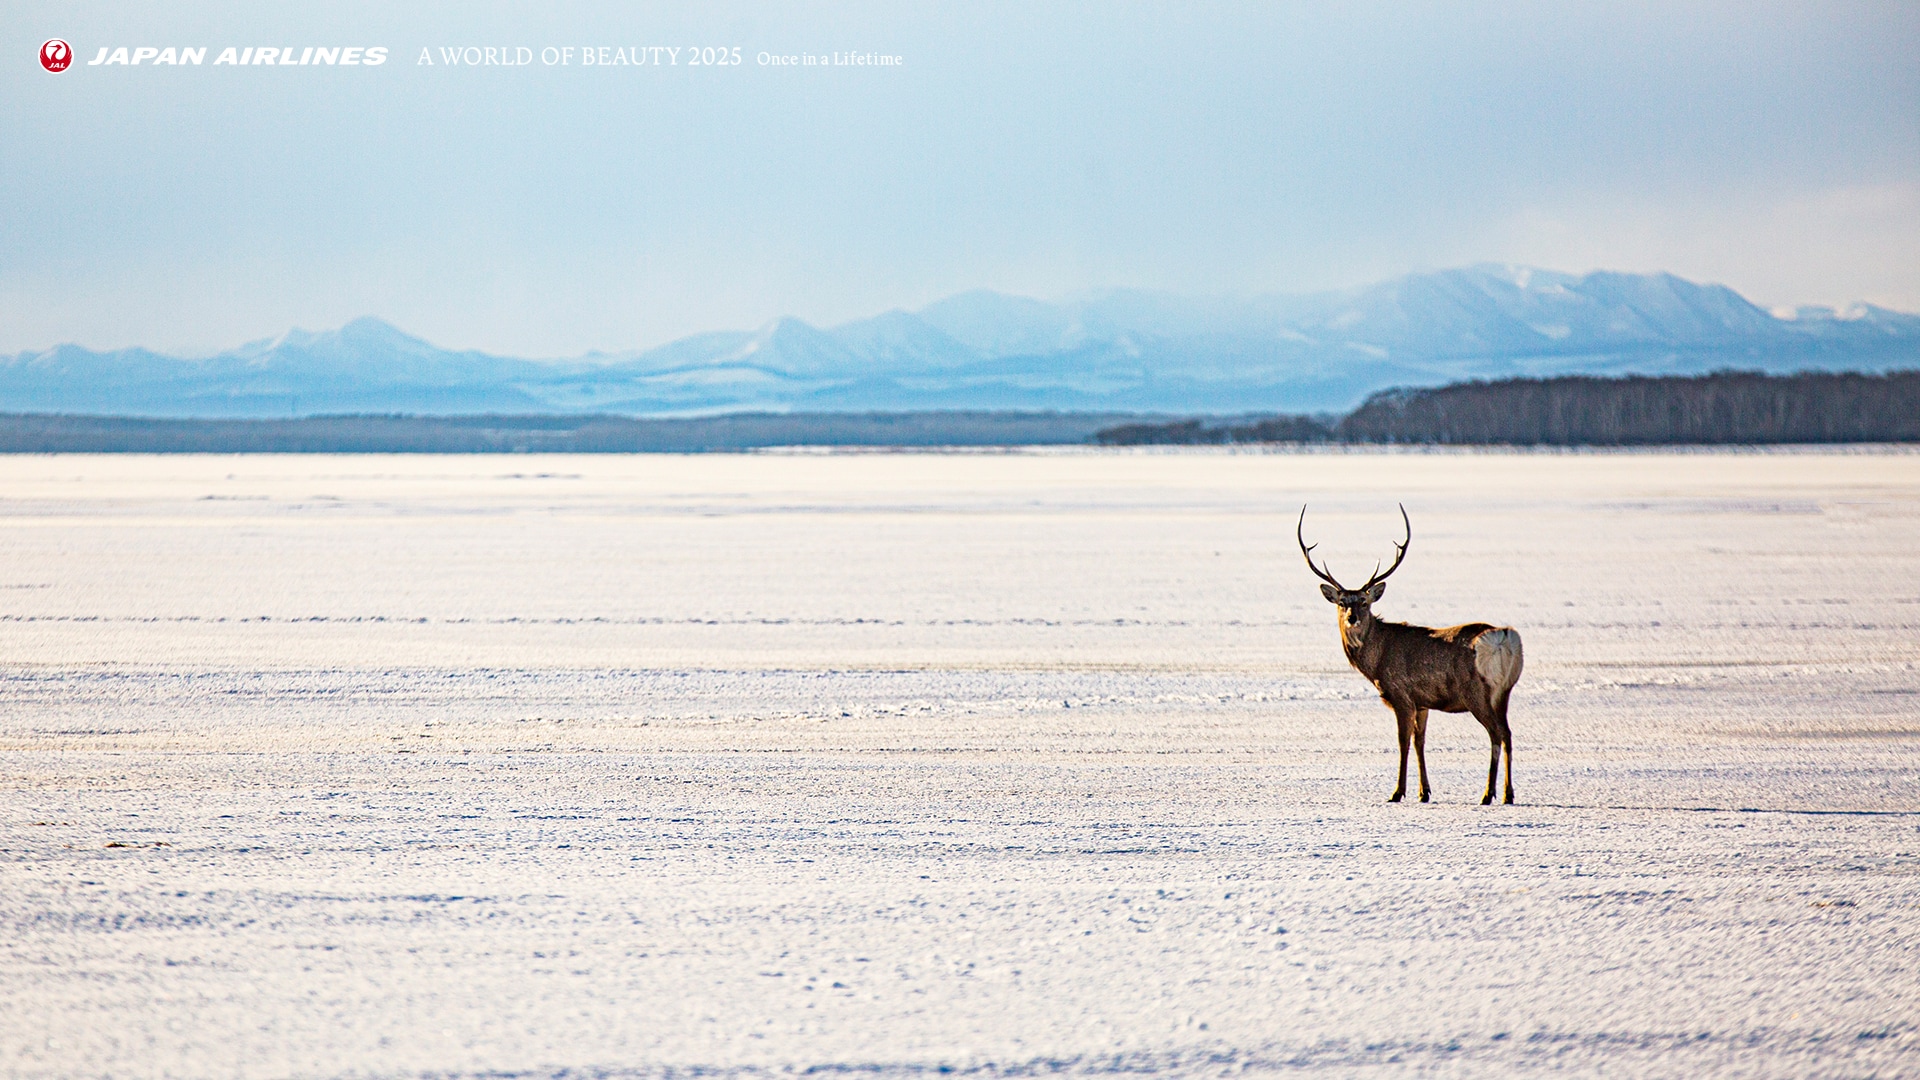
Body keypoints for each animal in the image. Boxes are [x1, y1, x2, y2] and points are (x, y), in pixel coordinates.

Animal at [1297, 503, 1520, 799]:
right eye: (1342, 602)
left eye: (1365, 601)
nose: (1352, 618)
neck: (1376, 661)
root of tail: (1504, 636)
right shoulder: (1422, 701)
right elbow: (1419, 742)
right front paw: (1424, 792)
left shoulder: (1400, 694)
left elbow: (1402, 742)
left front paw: (1397, 791)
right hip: (1503, 692)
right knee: (1508, 734)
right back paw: (1508, 793)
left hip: (1477, 692)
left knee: (1495, 734)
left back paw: (1488, 794)